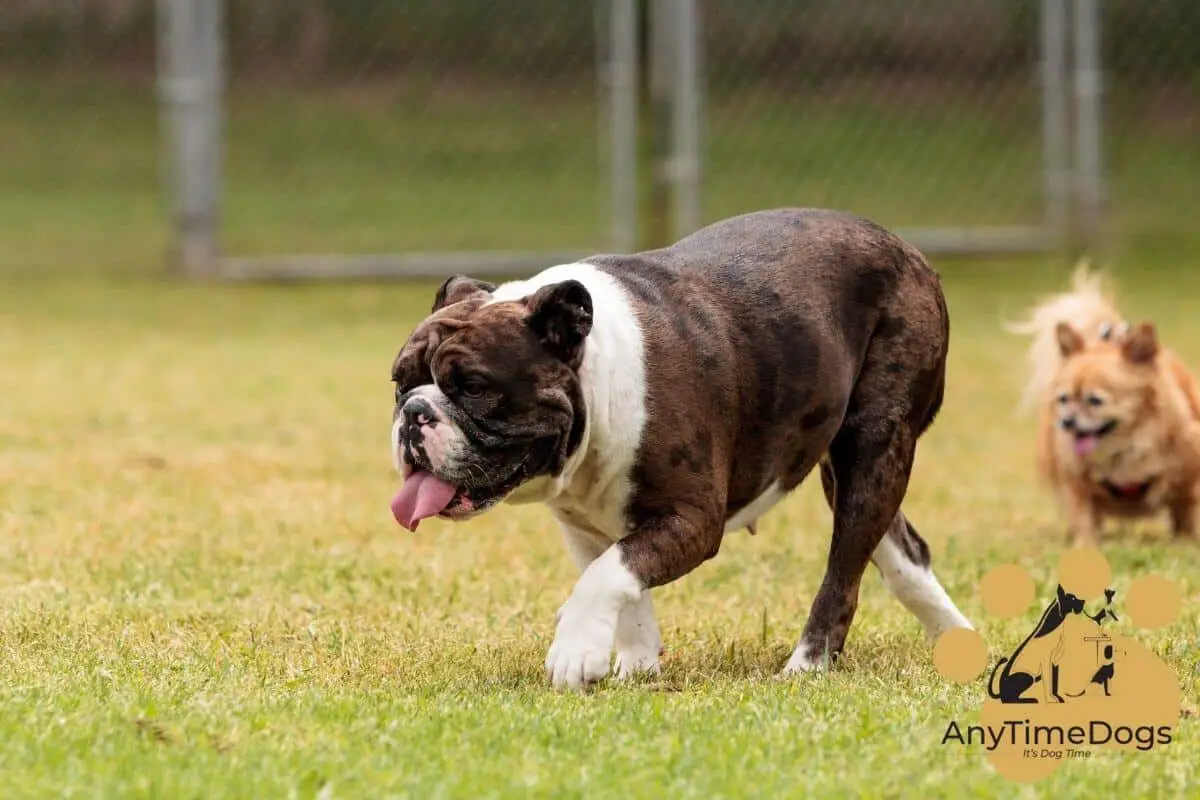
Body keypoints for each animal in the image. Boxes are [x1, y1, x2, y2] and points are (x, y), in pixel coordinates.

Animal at [1012, 266, 1200, 546]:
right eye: (1064, 399)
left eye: (1095, 401)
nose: (1067, 421)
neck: (1123, 449)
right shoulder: (1076, 484)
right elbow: (1084, 517)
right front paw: (1085, 546)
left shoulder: (1188, 481)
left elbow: (1187, 514)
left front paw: (1187, 544)